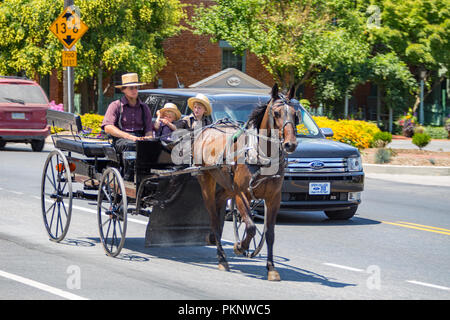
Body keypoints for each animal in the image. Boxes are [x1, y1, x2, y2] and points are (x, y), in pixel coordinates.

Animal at [192, 84, 298, 282]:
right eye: (277, 113)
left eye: (296, 114)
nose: (290, 144)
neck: (260, 156)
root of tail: (206, 130)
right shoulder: (242, 193)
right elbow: (250, 227)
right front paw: (240, 246)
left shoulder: (274, 198)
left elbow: (269, 233)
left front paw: (271, 268)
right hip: (207, 180)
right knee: (213, 216)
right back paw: (222, 258)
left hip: (227, 185)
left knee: (219, 202)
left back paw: (213, 238)